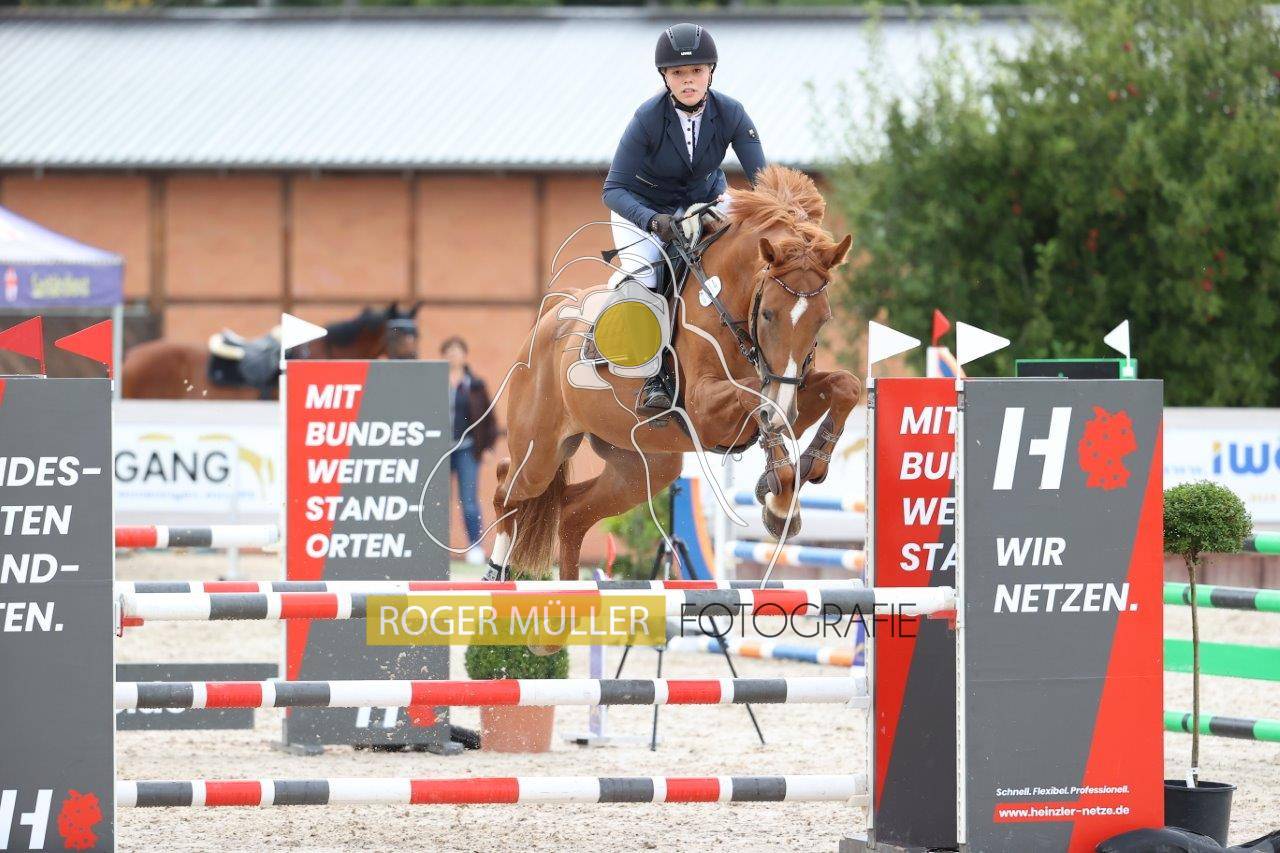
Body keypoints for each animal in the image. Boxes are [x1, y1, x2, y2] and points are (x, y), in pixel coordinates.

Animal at [489, 165, 862, 581]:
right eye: (768, 314)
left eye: (823, 319)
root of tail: (550, 318)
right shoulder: (705, 409)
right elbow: (756, 397)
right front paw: (780, 500)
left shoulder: (788, 386)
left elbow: (845, 386)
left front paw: (802, 473)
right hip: (540, 452)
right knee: (507, 490)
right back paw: (495, 572)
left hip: (643, 466)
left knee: (572, 514)